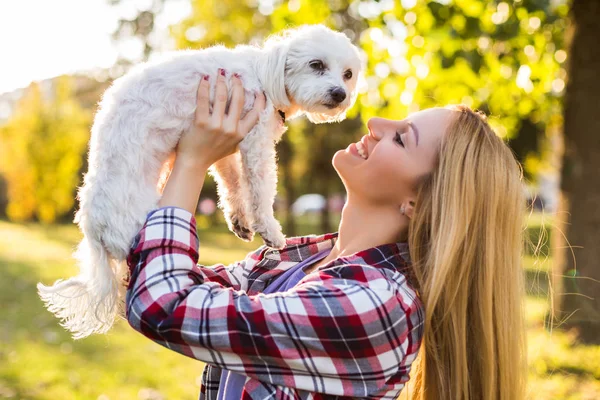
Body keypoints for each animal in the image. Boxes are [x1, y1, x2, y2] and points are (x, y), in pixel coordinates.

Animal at [38, 24, 366, 338]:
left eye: (348, 74)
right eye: (316, 65)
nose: (340, 93)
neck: (263, 76)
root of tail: (94, 231)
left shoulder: (228, 148)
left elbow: (232, 185)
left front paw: (239, 220)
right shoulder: (255, 143)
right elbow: (260, 191)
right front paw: (270, 231)